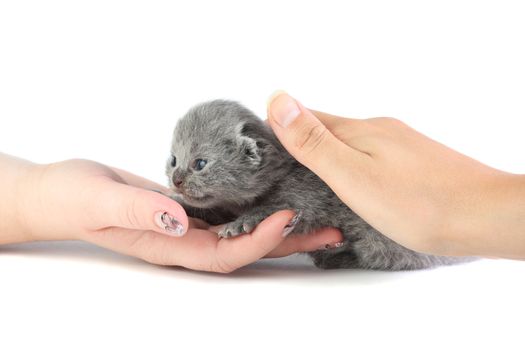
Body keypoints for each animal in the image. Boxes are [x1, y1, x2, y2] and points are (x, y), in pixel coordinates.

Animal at [166, 100, 472, 270]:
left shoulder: (306, 196)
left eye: (200, 163)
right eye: (173, 160)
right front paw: (178, 204)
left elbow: (276, 208)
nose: (176, 180)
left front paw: (242, 223)